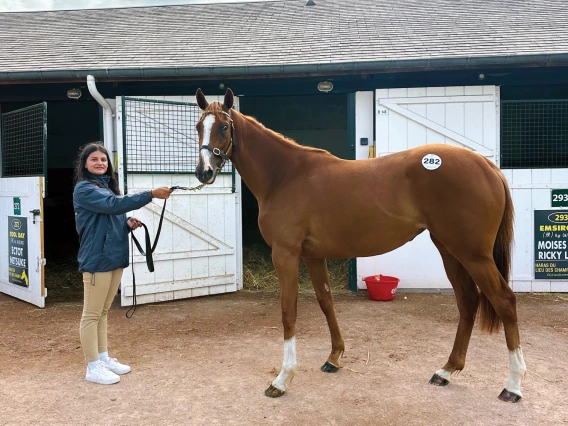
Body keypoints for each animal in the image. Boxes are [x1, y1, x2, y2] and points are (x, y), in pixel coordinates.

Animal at [196, 88, 528, 402]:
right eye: (199, 126)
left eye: (223, 127)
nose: (204, 172)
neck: (285, 175)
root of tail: (487, 165)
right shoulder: (313, 257)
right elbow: (325, 301)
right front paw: (334, 357)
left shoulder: (286, 254)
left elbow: (288, 311)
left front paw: (282, 379)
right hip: (451, 251)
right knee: (468, 302)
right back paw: (446, 371)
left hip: (474, 255)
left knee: (505, 302)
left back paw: (512, 385)